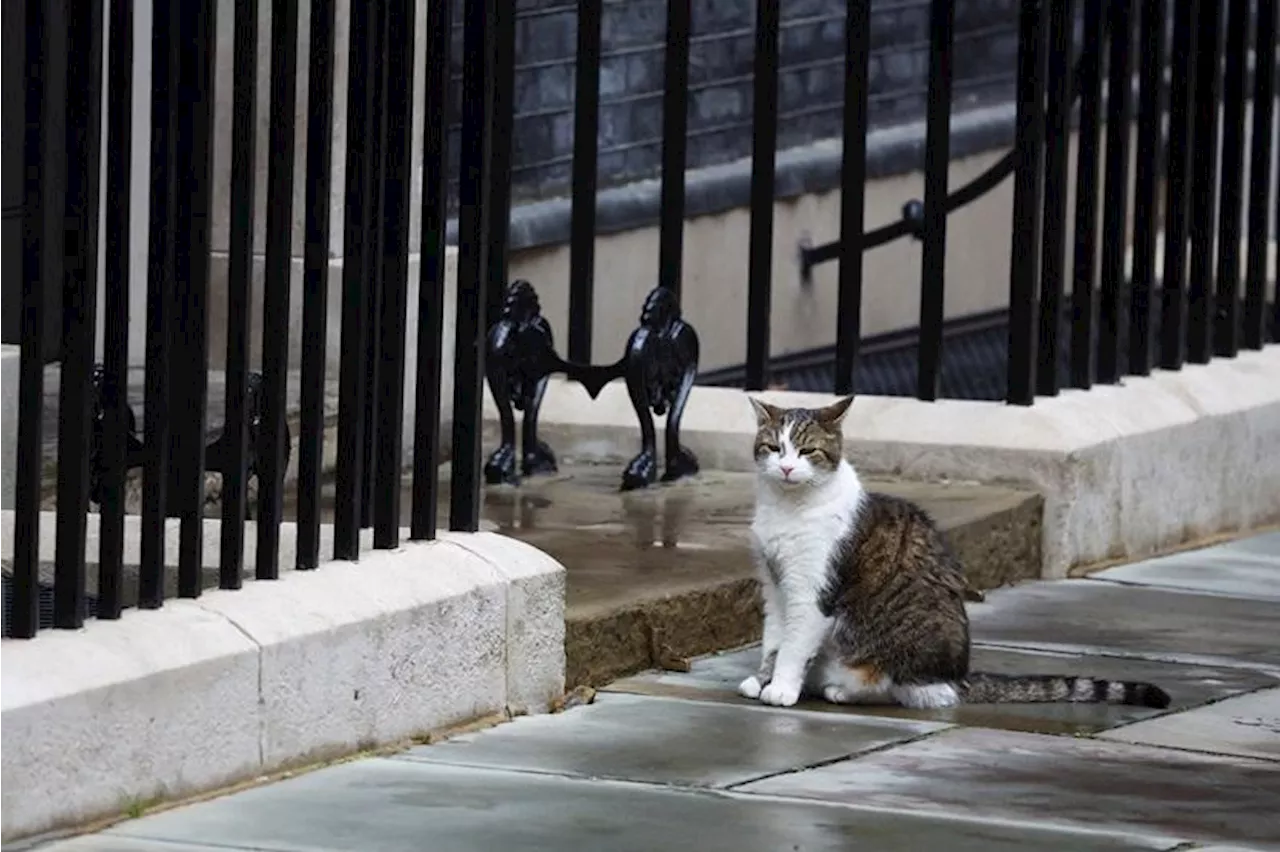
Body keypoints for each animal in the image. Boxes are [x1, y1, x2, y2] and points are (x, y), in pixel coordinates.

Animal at [742, 396, 1172, 711]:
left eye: (807, 450)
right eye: (774, 448)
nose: (785, 467)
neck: (787, 508)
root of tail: (958, 676)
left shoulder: (812, 590)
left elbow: (794, 645)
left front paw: (781, 688)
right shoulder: (775, 584)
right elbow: (774, 639)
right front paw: (762, 680)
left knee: (917, 691)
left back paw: (843, 689)